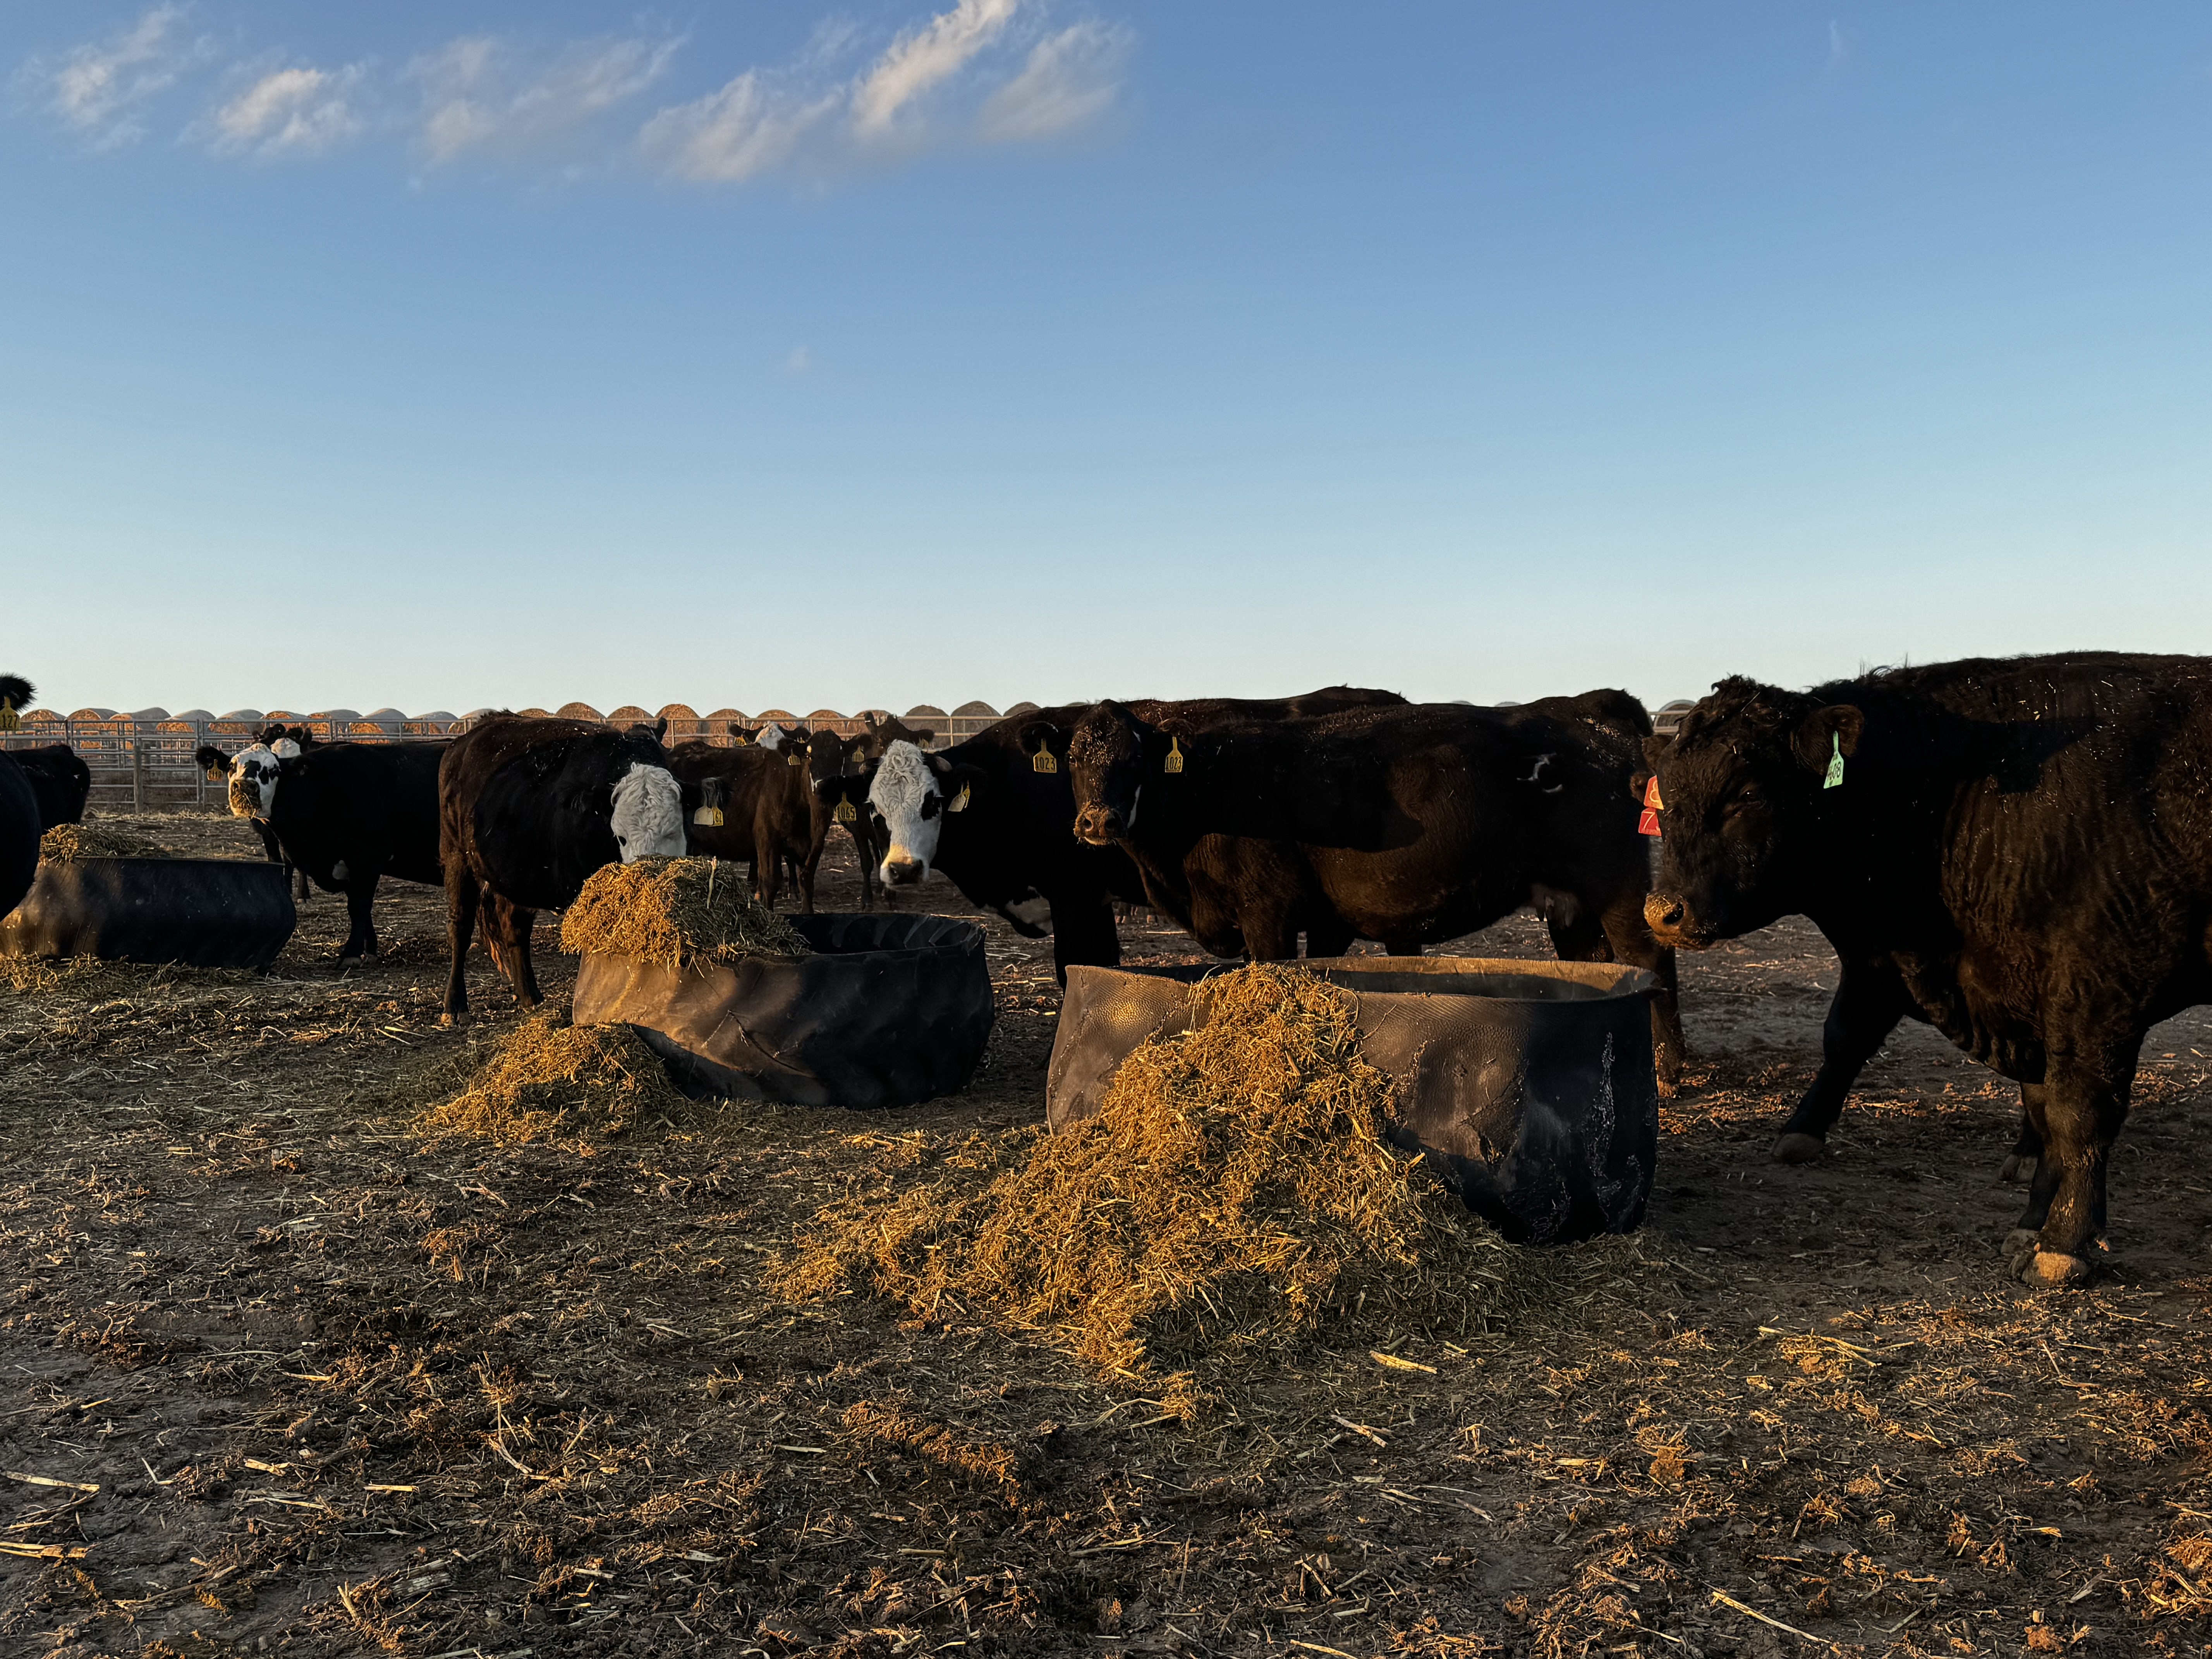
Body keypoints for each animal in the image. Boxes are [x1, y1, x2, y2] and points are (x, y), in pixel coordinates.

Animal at [200, 738, 453, 960]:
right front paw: (369, 949)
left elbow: (359, 905)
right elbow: (360, 907)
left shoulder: (369, 856)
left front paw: (351, 954)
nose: (244, 787)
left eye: (274, 770)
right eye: (232, 766)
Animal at [1066, 690, 1672, 1092]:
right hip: (1572, 905)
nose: (1097, 820)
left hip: (1617, 886)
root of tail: (1587, 708)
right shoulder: (1324, 918)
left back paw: (1667, 1068)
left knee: (1650, 959)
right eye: (1073, 759)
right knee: (1597, 963)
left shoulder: (1268, 911)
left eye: (1133, 758)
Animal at [1645, 654, 2212, 1291]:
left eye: (1746, 793)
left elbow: (2079, 1114)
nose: (1663, 910)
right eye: (1664, 800)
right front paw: (2033, 1222)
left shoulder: (2098, 993)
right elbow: (1851, 1039)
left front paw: (2064, 1243)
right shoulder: (1931, 974)